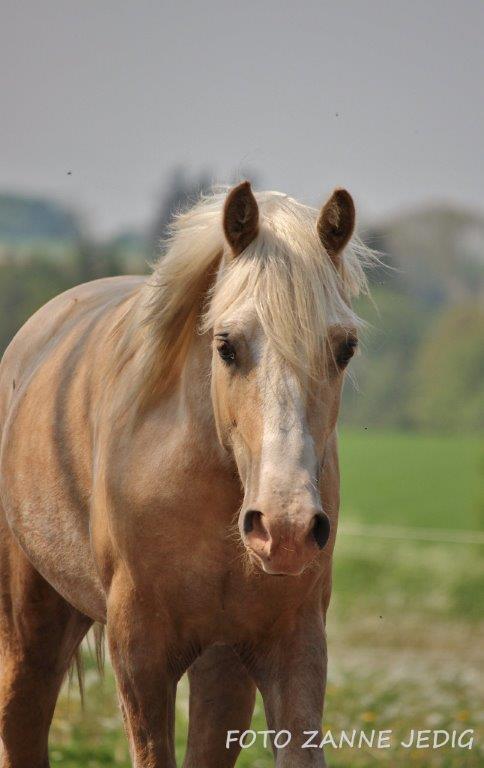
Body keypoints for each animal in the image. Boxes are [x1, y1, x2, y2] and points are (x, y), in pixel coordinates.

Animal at [0, 183, 372, 764]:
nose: (285, 529)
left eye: (345, 348)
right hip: (30, 625)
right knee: (21, 722)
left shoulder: (291, 643)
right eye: (226, 345)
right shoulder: (140, 653)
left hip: (218, 664)